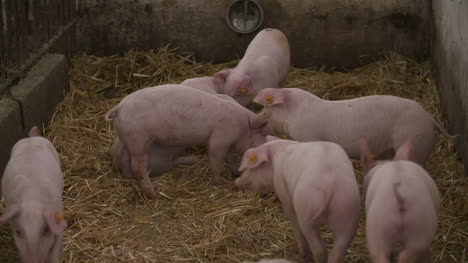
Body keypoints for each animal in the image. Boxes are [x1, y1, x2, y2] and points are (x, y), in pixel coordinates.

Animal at [0, 127, 66, 262]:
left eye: (46, 230)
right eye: (18, 232)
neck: (32, 199)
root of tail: (31, 138)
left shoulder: (59, 212)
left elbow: (55, 250)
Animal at [254, 88, 456, 167]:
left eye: (267, 107)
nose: (256, 120)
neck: (295, 114)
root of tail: (429, 118)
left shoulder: (307, 136)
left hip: (413, 140)